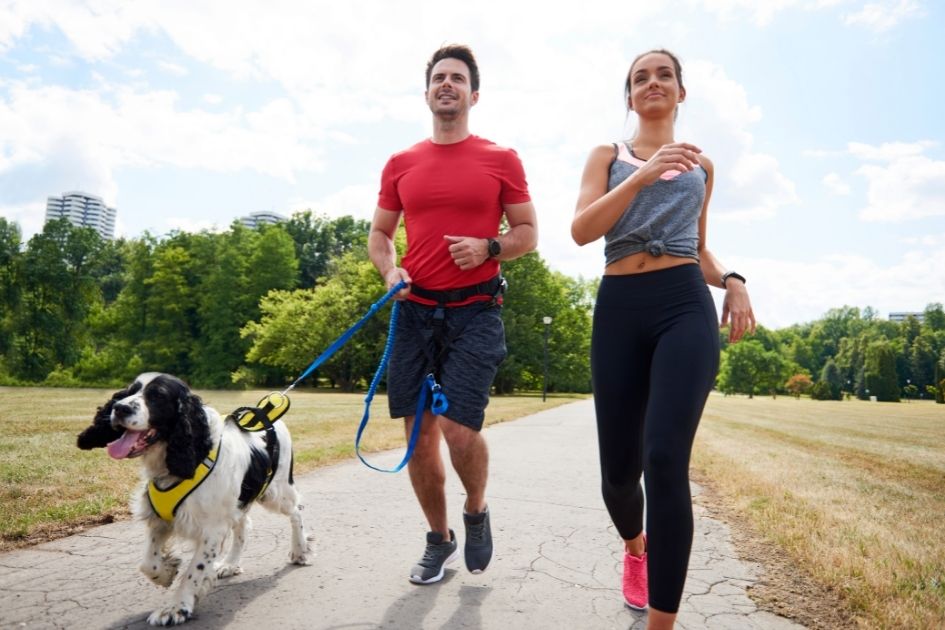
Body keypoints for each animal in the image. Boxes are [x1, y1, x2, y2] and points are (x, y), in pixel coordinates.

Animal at [76, 376, 314, 628]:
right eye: (130, 391)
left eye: (158, 396)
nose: (119, 408)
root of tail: (267, 416)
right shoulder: (161, 519)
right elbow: (148, 563)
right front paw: (167, 572)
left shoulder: (211, 529)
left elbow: (194, 571)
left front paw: (176, 608)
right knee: (243, 527)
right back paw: (230, 564)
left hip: (277, 492)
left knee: (296, 511)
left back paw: (300, 550)